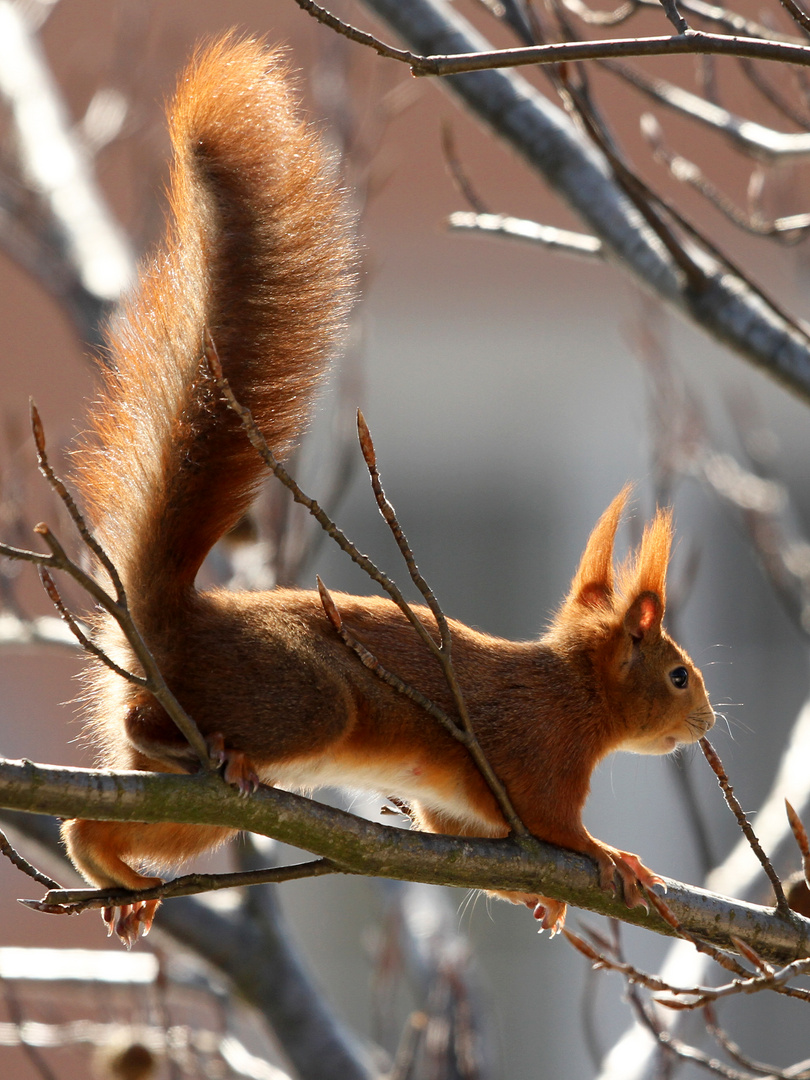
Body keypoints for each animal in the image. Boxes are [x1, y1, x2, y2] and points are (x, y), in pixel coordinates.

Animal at [58, 38, 717, 941]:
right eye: (678, 676)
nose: (708, 722)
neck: (575, 695)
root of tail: (176, 616)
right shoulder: (533, 759)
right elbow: (556, 825)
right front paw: (614, 858)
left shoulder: (465, 818)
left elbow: (471, 841)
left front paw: (548, 897)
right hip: (298, 699)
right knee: (151, 728)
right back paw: (194, 752)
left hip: (201, 810)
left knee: (90, 824)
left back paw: (114, 870)